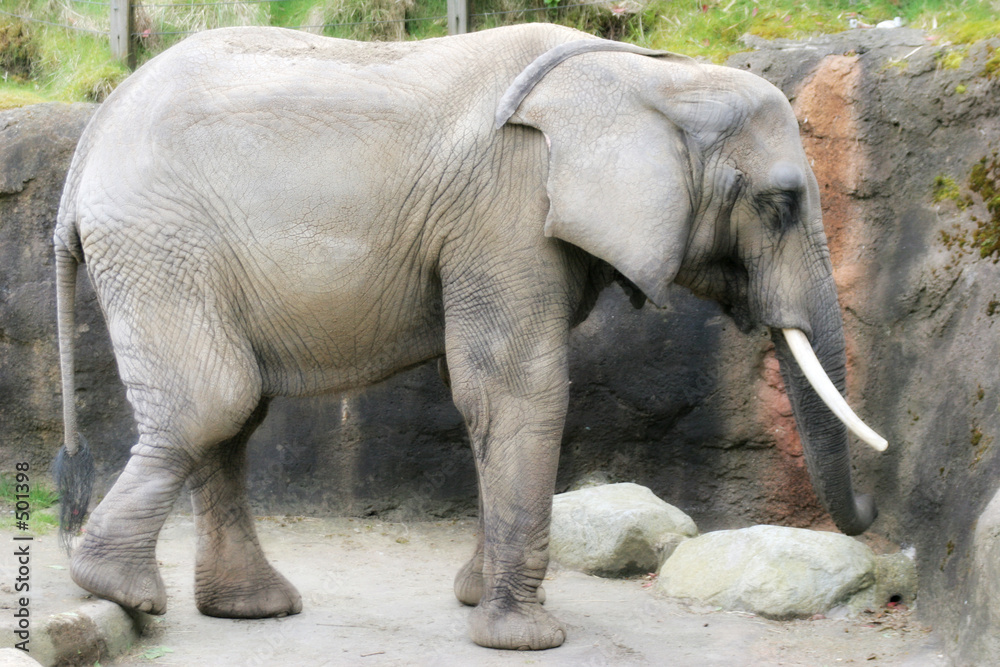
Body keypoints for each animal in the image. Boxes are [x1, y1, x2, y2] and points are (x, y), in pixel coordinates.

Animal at [53, 23, 886, 650]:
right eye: (779, 203)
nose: (877, 515)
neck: (643, 76)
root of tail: (90, 136)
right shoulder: (509, 206)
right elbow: (519, 389)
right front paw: (526, 639)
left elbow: (483, 396)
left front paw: (473, 598)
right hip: (159, 241)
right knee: (214, 401)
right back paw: (118, 589)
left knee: (233, 413)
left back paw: (245, 606)